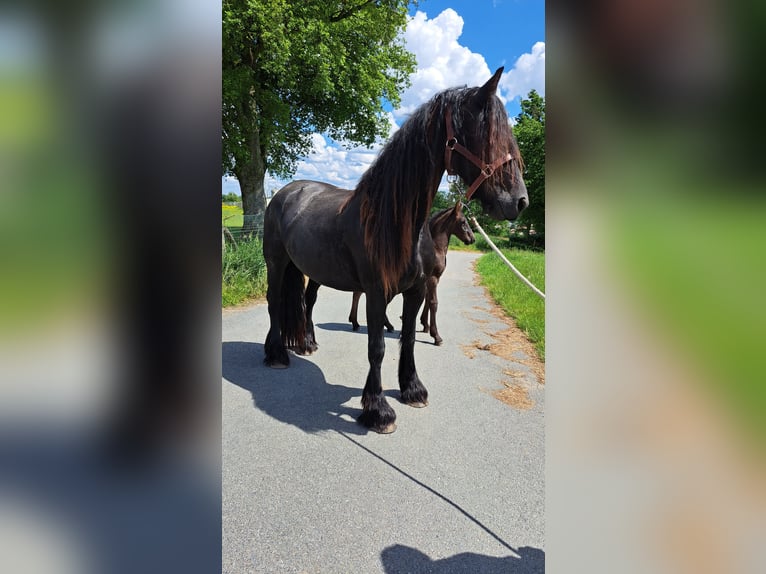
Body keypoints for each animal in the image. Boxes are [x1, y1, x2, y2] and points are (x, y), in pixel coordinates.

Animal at [347, 202, 476, 345]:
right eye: (463, 222)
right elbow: (433, 302)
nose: (472, 239)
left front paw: (425, 325)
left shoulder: (426, 280)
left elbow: (426, 300)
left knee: (359, 293)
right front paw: (436, 336)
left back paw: (363, 323)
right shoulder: (433, 278)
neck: (435, 248)